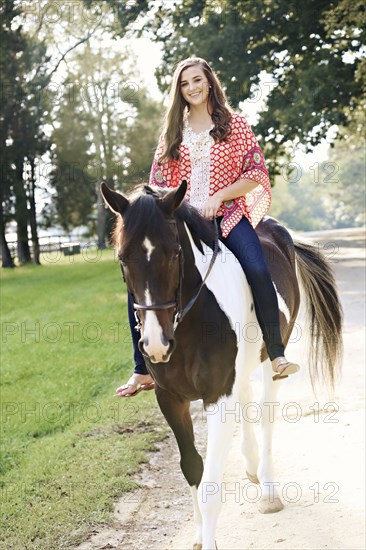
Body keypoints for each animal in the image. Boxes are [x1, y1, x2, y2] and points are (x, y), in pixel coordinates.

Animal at [100, 182, 344, 550]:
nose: (156, 345)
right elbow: (192, 467)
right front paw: (201, 536)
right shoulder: (170, 398)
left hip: (272, 360)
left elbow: (212, 483)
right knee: (245, 395)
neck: (187, 321)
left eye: (175, 253)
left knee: (266, 413)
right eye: (122, 258)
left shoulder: (216, 395)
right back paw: (251, 463)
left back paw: (268, 489)